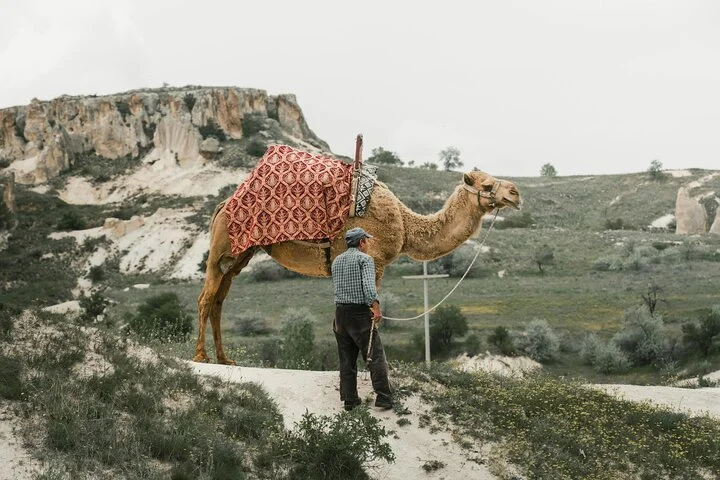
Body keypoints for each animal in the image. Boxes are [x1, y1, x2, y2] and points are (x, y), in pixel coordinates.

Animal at [194, 169, 522, 364]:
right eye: (487, 184)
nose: (516, 192)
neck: (404, 222)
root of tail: (222, 206)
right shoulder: (374, 261)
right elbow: (372, 314)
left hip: (239, 256)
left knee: (219, 301)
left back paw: (224, 359)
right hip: (221, 249)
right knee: (206, 298)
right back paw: (201, 357)